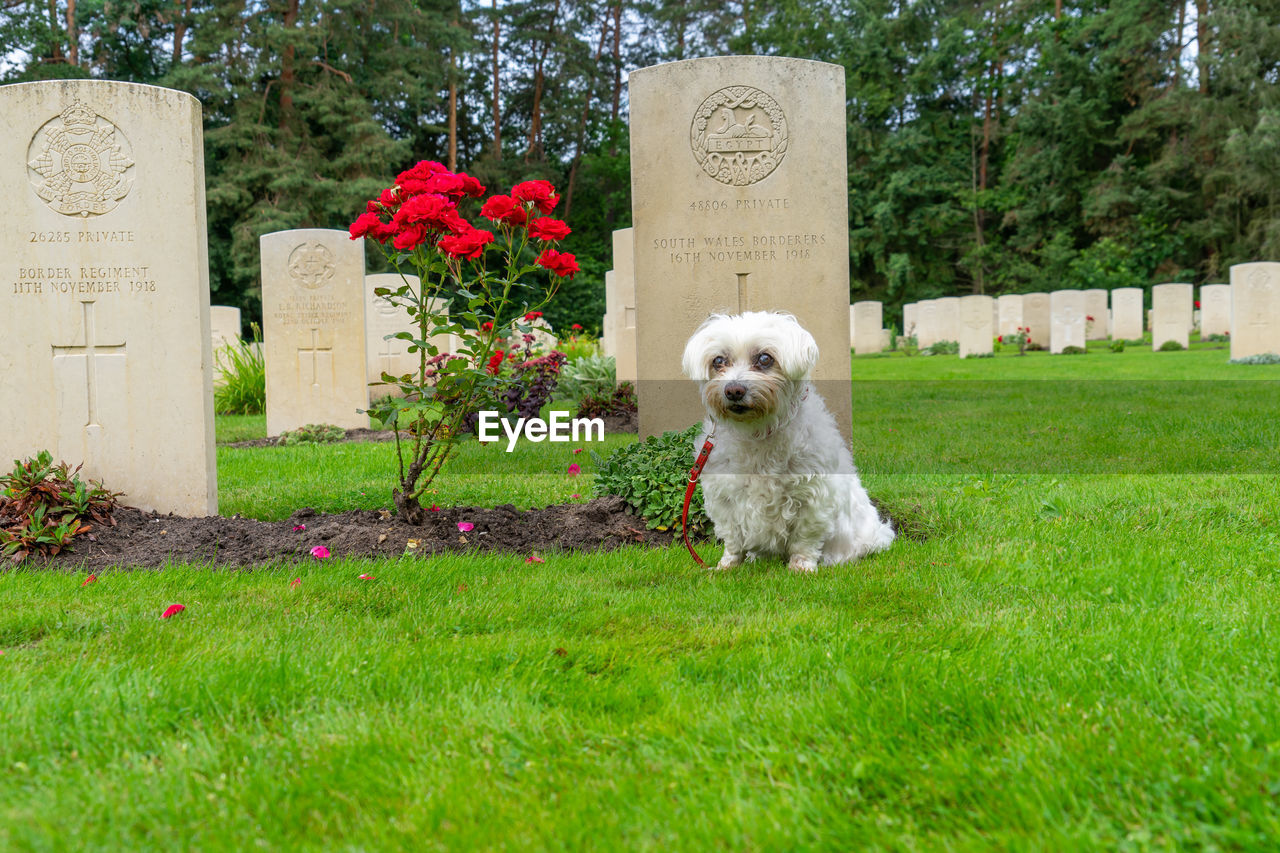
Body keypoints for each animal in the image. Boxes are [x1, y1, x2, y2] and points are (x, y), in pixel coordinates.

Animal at [680, 308, 890, 568]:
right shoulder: (724, 500)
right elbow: (732, 537)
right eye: (718, 361)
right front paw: (727, 565)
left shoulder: (813, 497)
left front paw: (801, 566)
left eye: (764, 358)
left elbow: (805, 538)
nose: (734, 390)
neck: (758, 432)